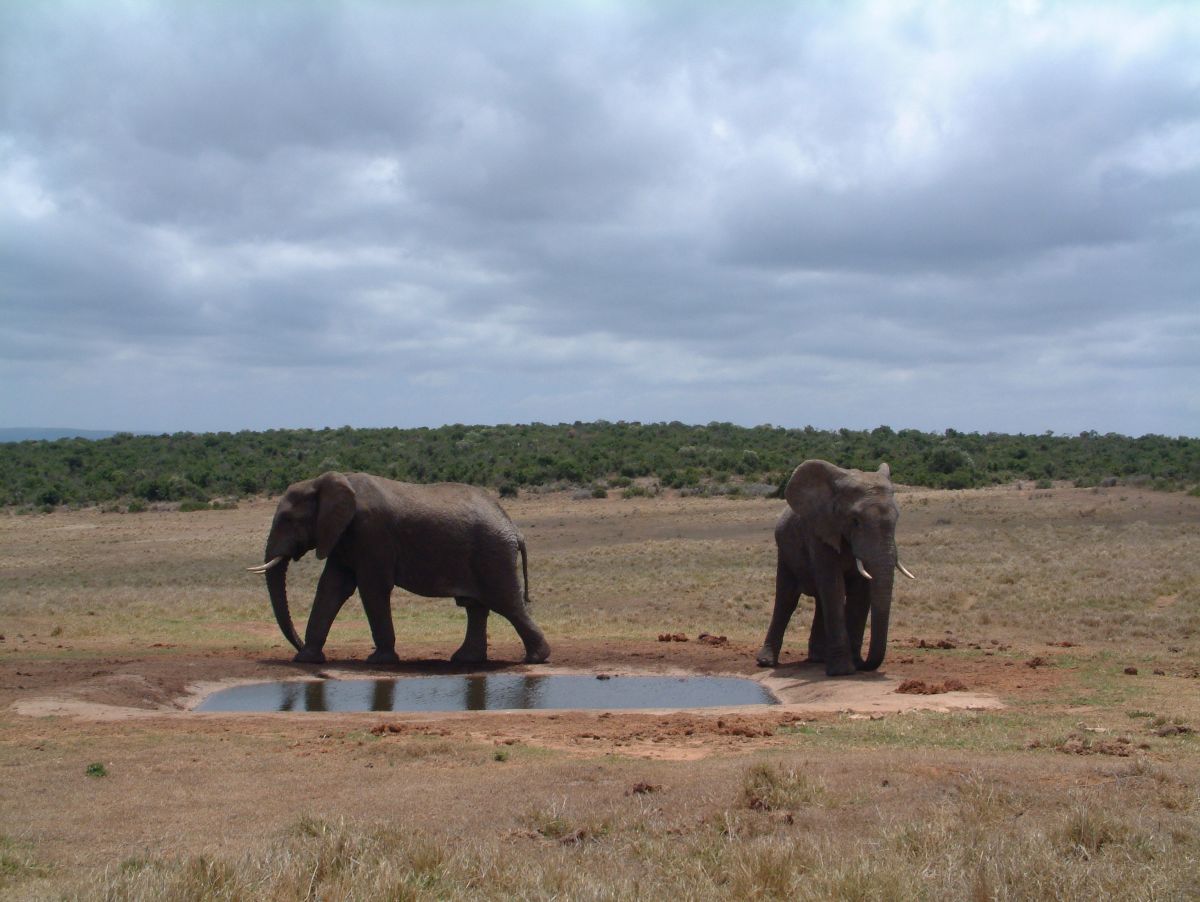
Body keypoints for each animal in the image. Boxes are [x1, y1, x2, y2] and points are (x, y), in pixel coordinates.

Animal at [250, 474, 554, 666]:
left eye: (288, 519)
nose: (297, 644)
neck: (325, 482)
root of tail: (514, 528)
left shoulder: (371, 533)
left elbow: (371, 589)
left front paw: (379, 661)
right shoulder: (343, 537)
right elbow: (331, 588)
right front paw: (306, 659)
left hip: (492, 555)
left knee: (507, 604)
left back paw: (536, 659)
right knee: (476, 606)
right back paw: (466, 660)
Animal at [753, 458, 912, 676]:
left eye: (896, 520)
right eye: (855, 521)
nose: (864, 663)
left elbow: (860, 590)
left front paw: (852, 664)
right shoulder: (820, 532)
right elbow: (834, 585)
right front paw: (843, 671)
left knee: (820, 599)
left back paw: (818, 659)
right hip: (785, 551)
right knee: (787, 599)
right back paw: (766, 662)